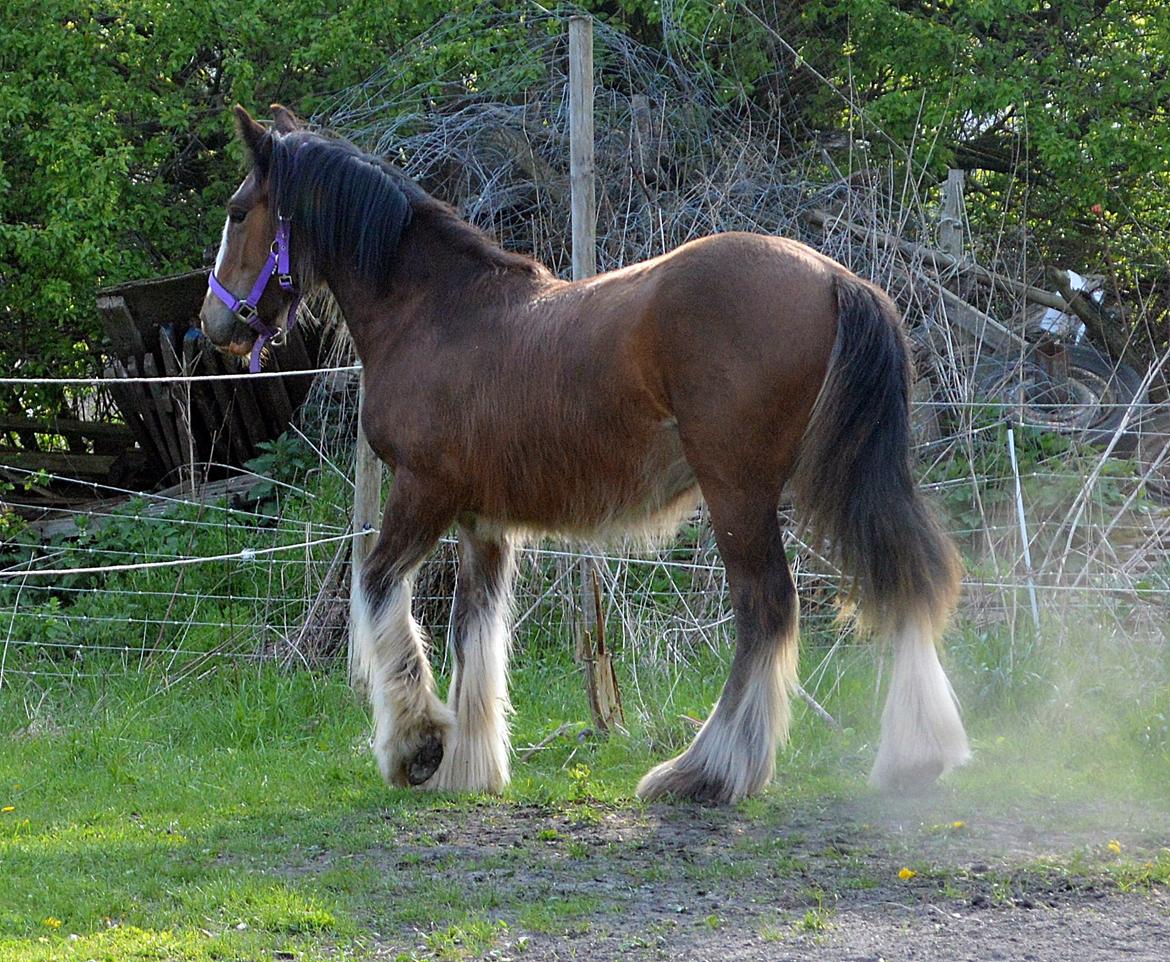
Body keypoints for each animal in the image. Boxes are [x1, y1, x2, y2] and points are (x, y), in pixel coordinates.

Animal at [198, 107, 968, 805]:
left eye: (237, 212)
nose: (212, 324)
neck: (436, 311)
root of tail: (835, 276)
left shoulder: (423, 492)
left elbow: (380, 588)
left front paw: (417, 747)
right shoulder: (483, 521)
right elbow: (473, 631)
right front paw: (468, 768)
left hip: (738, 489)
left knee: (767, 608)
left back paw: (706, 773)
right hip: (838, 473)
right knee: (906, 574)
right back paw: (917, 756)